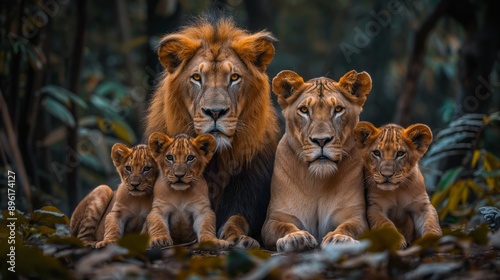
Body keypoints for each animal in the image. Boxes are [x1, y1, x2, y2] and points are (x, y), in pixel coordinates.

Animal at [144, 17, 282, 247]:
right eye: (196, 77)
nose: (215, 112)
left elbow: (236, 218)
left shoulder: (248, 193)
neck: (215, 158)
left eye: (234, 77)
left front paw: (238, 238)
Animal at [262, 69, 372, 252]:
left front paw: (340, 238)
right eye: (304, 110)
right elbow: (284, 226)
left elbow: (349, 227)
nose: (321, 140)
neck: (317, 181)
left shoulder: (355, 216)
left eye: (338, 109)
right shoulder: (276, 217)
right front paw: (295, 237)